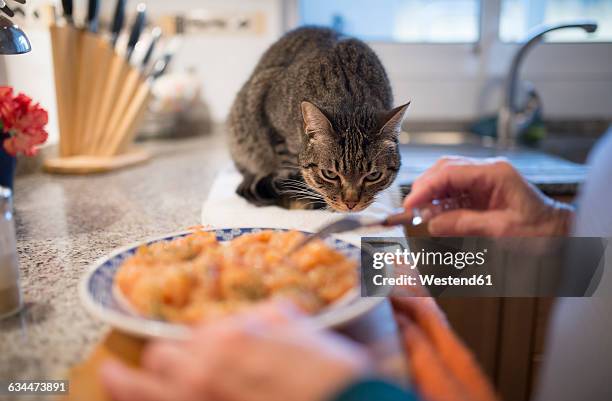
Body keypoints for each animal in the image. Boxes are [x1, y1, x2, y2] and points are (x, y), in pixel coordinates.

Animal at [227, 26, 408, 211]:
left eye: (373, 176)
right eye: (329, 174)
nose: (350, 204)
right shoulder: (269, 112)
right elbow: (287, 168)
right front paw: (299, 198)